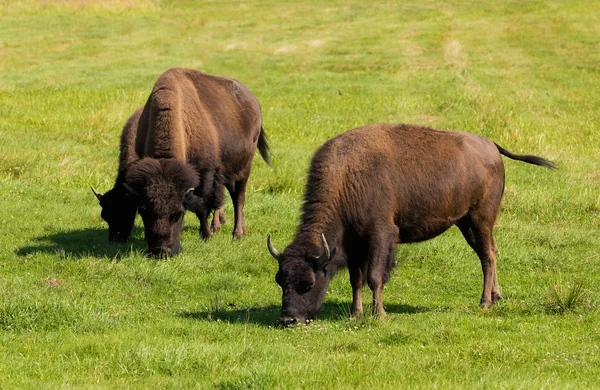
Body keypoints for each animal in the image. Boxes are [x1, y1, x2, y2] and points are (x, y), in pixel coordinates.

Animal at [92, 68, 270, 258]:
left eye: (178, 214)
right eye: (143, 211)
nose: (161, 251)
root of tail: (253, 101)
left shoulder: (205, 175)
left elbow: (201, 207)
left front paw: (206, 236)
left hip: (244, 167)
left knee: (239, 197)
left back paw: (238, 233)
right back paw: (218, 225)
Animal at [270, 123, 556, 324]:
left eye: (308, 283)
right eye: (280, 280)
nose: (288, 320)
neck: (348, 176)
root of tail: (491, 145)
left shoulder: (380, 236)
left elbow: (374, 277)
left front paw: (380, 314)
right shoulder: (354, 245)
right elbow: (356, 280)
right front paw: (355, 313)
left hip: (480, 218)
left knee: (487, 256)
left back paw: (485, 302)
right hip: (467, 223)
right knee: (491, 252)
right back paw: (497, 297)